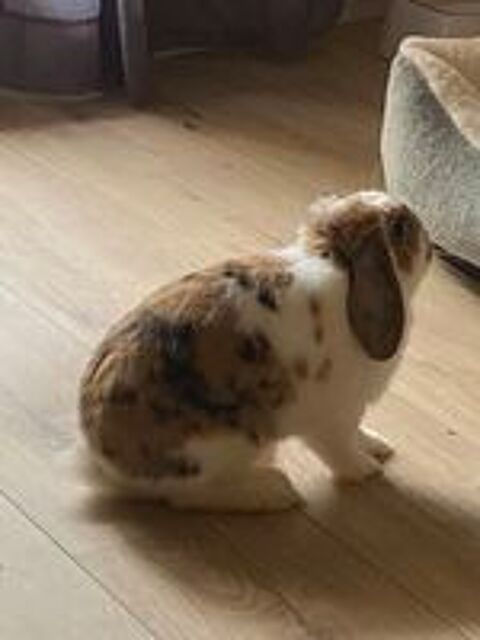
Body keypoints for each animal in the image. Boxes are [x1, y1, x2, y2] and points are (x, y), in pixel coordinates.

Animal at [79, 190, 432, 512]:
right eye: (400, 227)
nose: (429, 242)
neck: (338, 266)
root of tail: (103, 463)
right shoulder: (331, 417)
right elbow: (340, 450)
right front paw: (368, 470)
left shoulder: (352, 409)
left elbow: (357, 431)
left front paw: (378, 445)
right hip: (227, 442)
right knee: (189, 496)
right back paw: (276, 492)